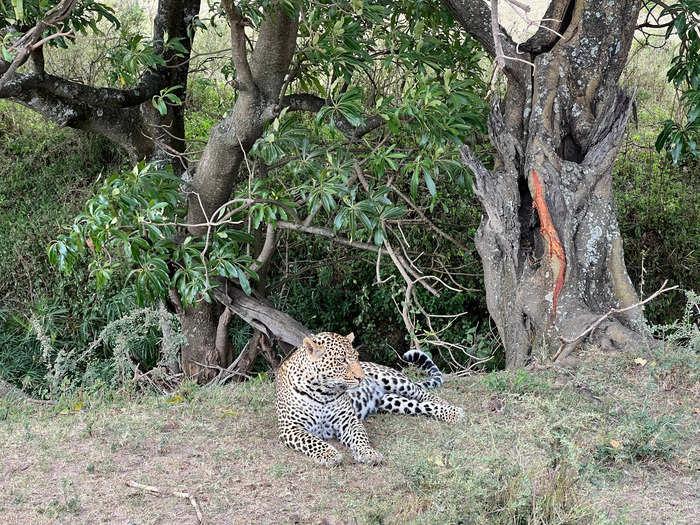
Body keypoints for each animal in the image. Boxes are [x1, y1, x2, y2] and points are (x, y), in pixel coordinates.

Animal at [274, 332, 464, 466]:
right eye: (342, 361)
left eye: (356, 357)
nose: (362, 377)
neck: (323, 392)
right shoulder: (290, 427)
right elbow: (313, 441)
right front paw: (330, 454)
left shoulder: (349, 421)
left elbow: (360, 437)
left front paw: (368, 453)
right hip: (391, 402)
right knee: (419, 405)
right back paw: (451, 413)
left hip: (394, 380)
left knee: (422, 393)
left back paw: (452, 410)